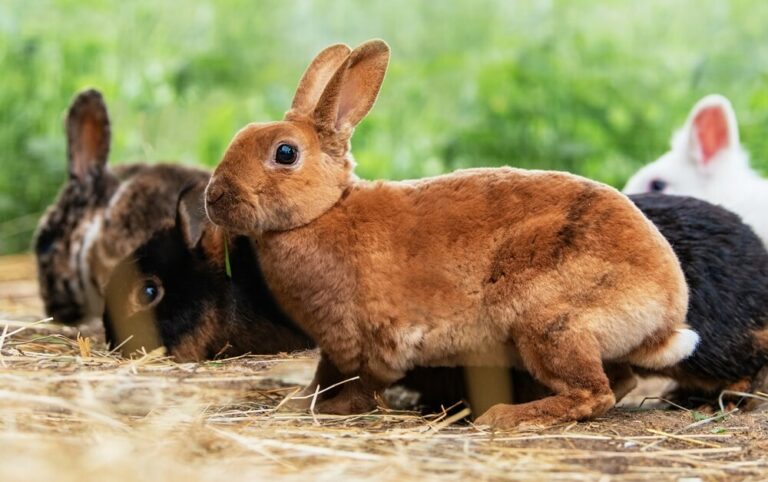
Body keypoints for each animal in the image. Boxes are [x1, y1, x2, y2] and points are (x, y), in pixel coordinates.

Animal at [202, 39, 696, 428]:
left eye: (285, 153)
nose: (213, 197)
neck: (325, 212)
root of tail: (667, 310)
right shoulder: (333, 347)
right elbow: (323, 376)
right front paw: (297, 402)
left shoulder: (371, 341)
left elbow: (361, 383)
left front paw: (333, 410)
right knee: (619, 380)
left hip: (548, 320)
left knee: (595, 392)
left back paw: (505, 416)